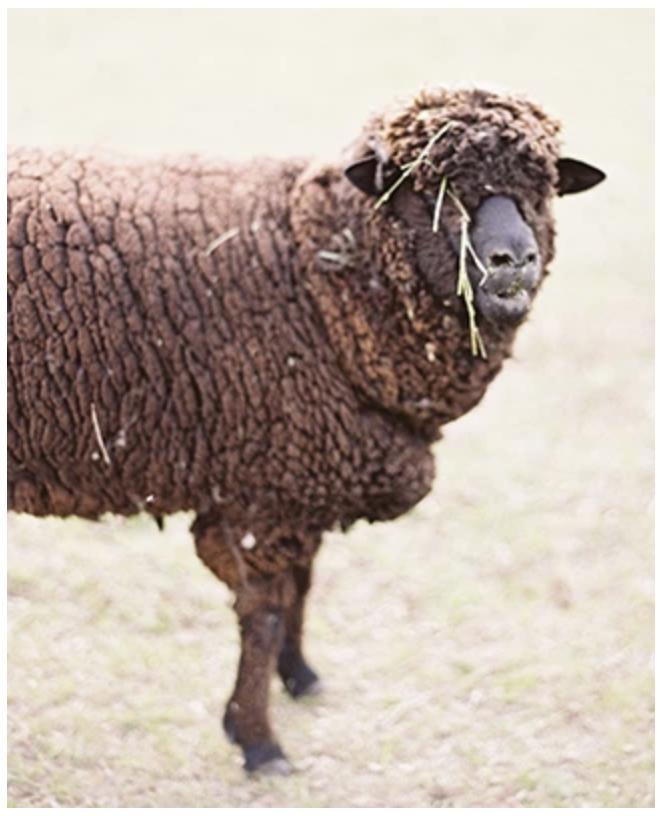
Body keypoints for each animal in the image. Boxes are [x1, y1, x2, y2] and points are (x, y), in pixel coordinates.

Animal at [7, 87, 605, 775]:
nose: (514, 261)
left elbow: (303, 583)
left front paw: (298, 677)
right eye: (428, 189)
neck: (316, 276)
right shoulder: (264, 491)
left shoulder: (299, 482)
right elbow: (265, 612)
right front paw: (258, 739)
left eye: (543, 190)